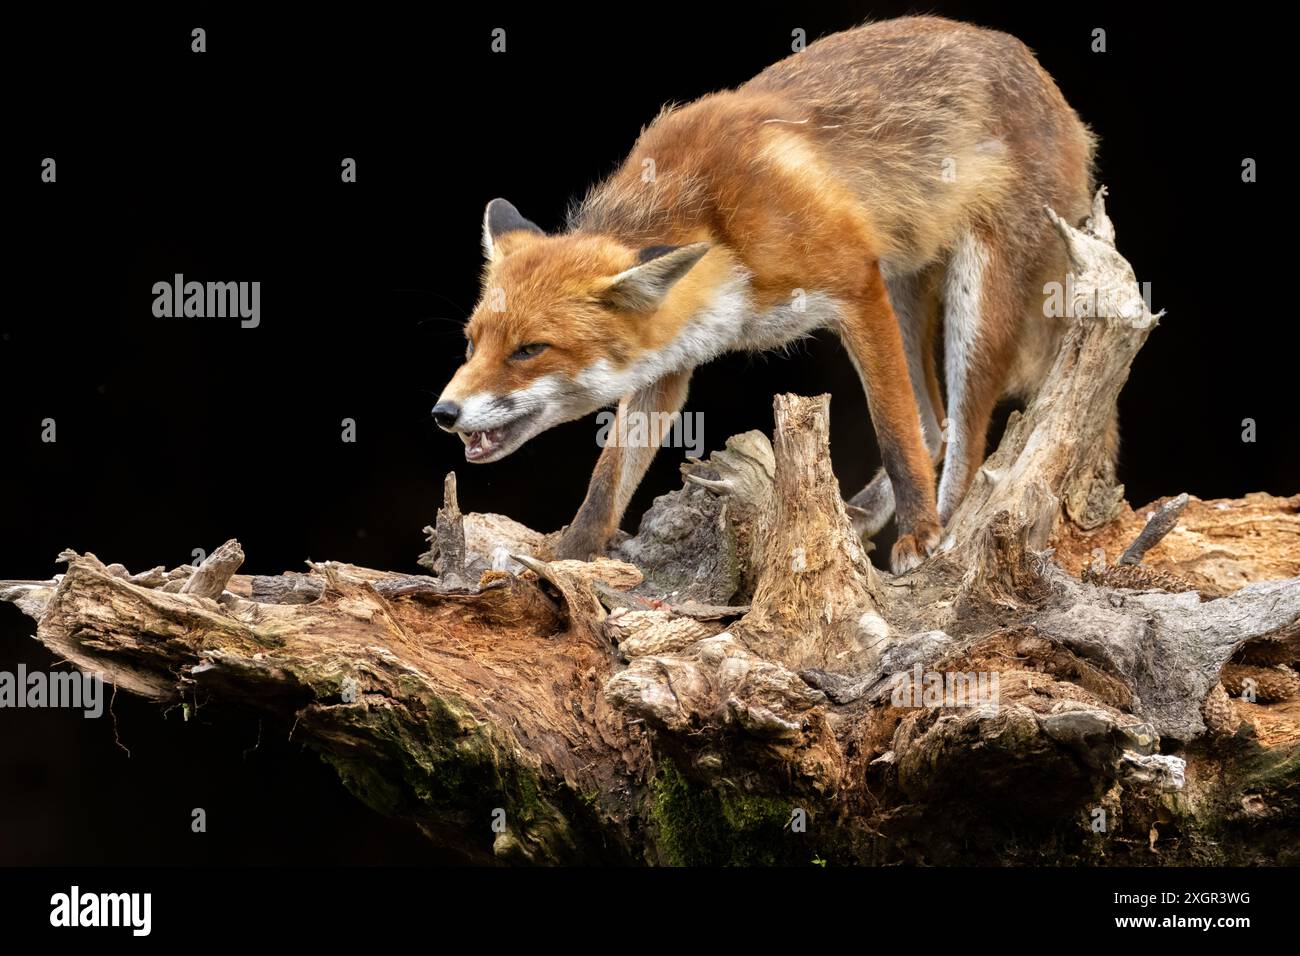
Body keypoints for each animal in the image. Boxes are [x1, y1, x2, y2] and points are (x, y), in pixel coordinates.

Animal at [433, 16, 1097, 573]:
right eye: (471, 345)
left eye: (529, 350)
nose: (444, 413)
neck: (718, 226)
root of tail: (1032, 66)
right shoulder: (667, 361)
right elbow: (608, 476)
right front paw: (569, 555)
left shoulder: (855, 285)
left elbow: (894, 431)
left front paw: (921, 532)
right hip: (905, 284)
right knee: (934, 423)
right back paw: (862, 515)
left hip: (972, 299)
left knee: (959, 431)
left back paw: (946, 529)